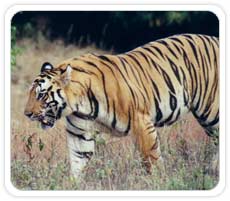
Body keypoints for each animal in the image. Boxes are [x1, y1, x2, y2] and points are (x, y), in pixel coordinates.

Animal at [23, 34, 219, 177]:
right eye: (31, 94)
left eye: (41, 94)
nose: (26, 114)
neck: (80, 104)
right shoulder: (79, 135)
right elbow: (77, 165)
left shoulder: (142, 124)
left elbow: (152, 160)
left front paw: (160, 182)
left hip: (211, 112)